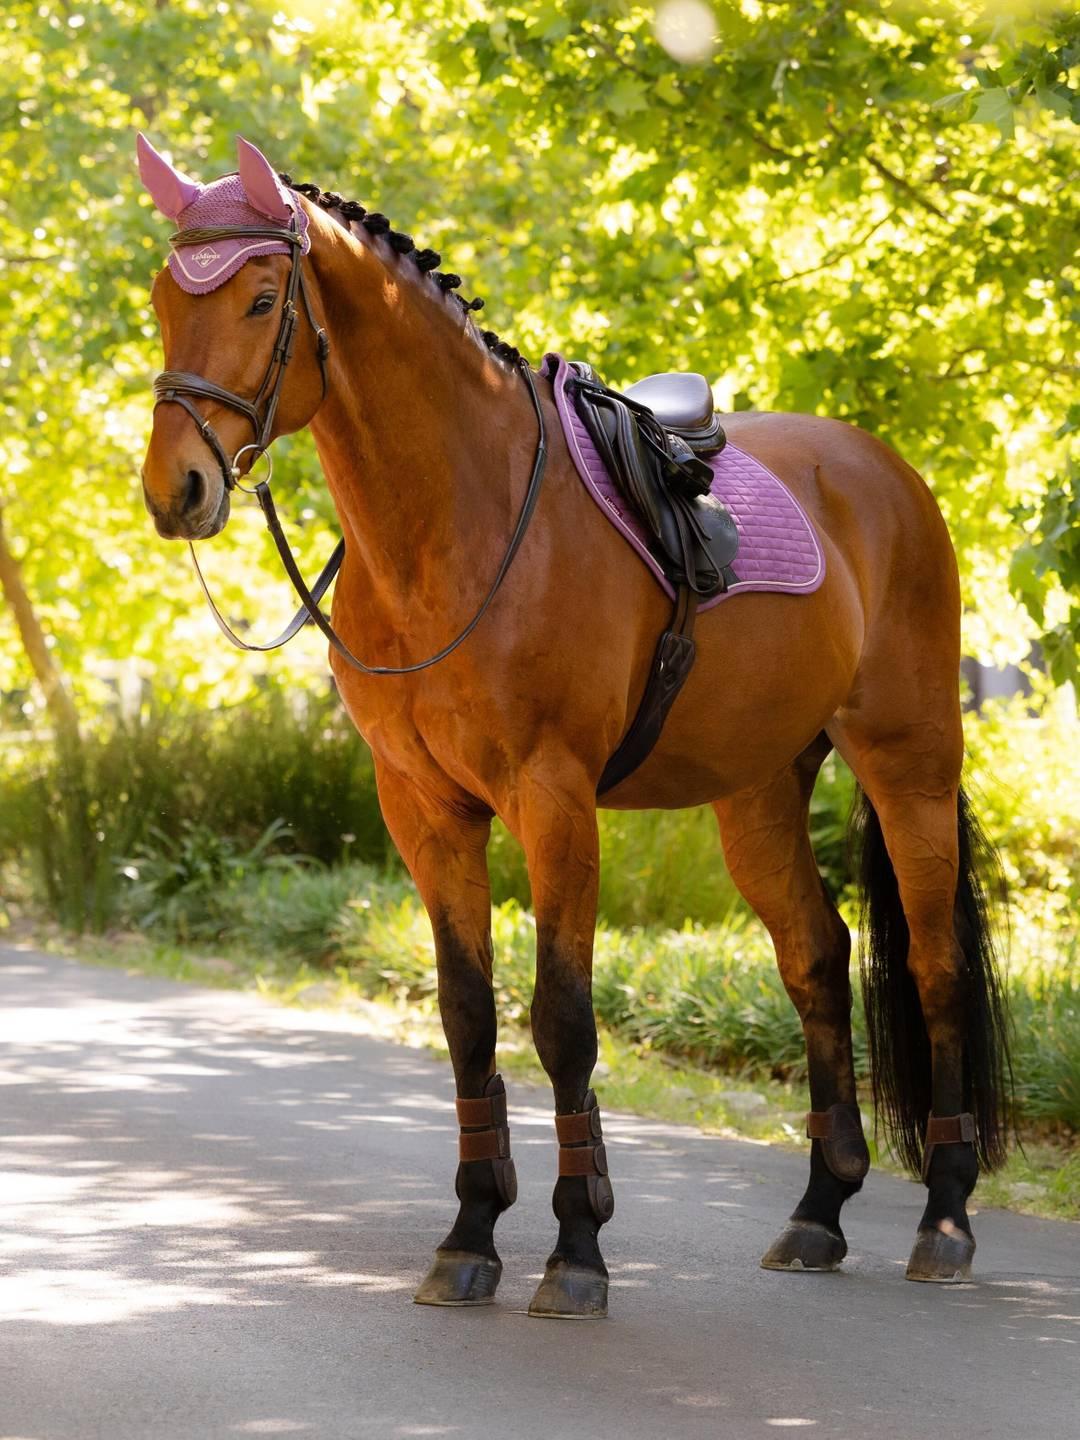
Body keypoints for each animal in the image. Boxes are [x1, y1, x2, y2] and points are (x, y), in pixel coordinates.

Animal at [137, 134, 1010, 1319]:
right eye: (160, 299)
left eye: (264, 298)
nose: (174, 488)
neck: (458, 521)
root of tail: (887, 475)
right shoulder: (423, 806)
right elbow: (468, 1014)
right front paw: (469, 1235)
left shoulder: (553, 800)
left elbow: (562, 1016)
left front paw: (577, 1247)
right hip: (760, 790)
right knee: (816, 958)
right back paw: (819, 1212)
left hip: (908, 764)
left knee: (933, 966)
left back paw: (947, 1220)